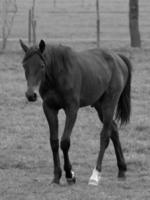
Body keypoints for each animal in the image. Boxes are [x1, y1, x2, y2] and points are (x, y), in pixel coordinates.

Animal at [19, 39, 132, 186]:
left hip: (109, 103)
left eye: (42, 65)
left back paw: (95, 175)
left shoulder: (71, 109)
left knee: (104, 136)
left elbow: (65, 142)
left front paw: (69, 174)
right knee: (113, 129)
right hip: (99, 106)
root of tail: (118, 58)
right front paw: (56, 176)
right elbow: (54, 142)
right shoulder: (49, 109)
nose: (30, 95)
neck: (59, 74)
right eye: (24, 65)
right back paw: (122, 169)